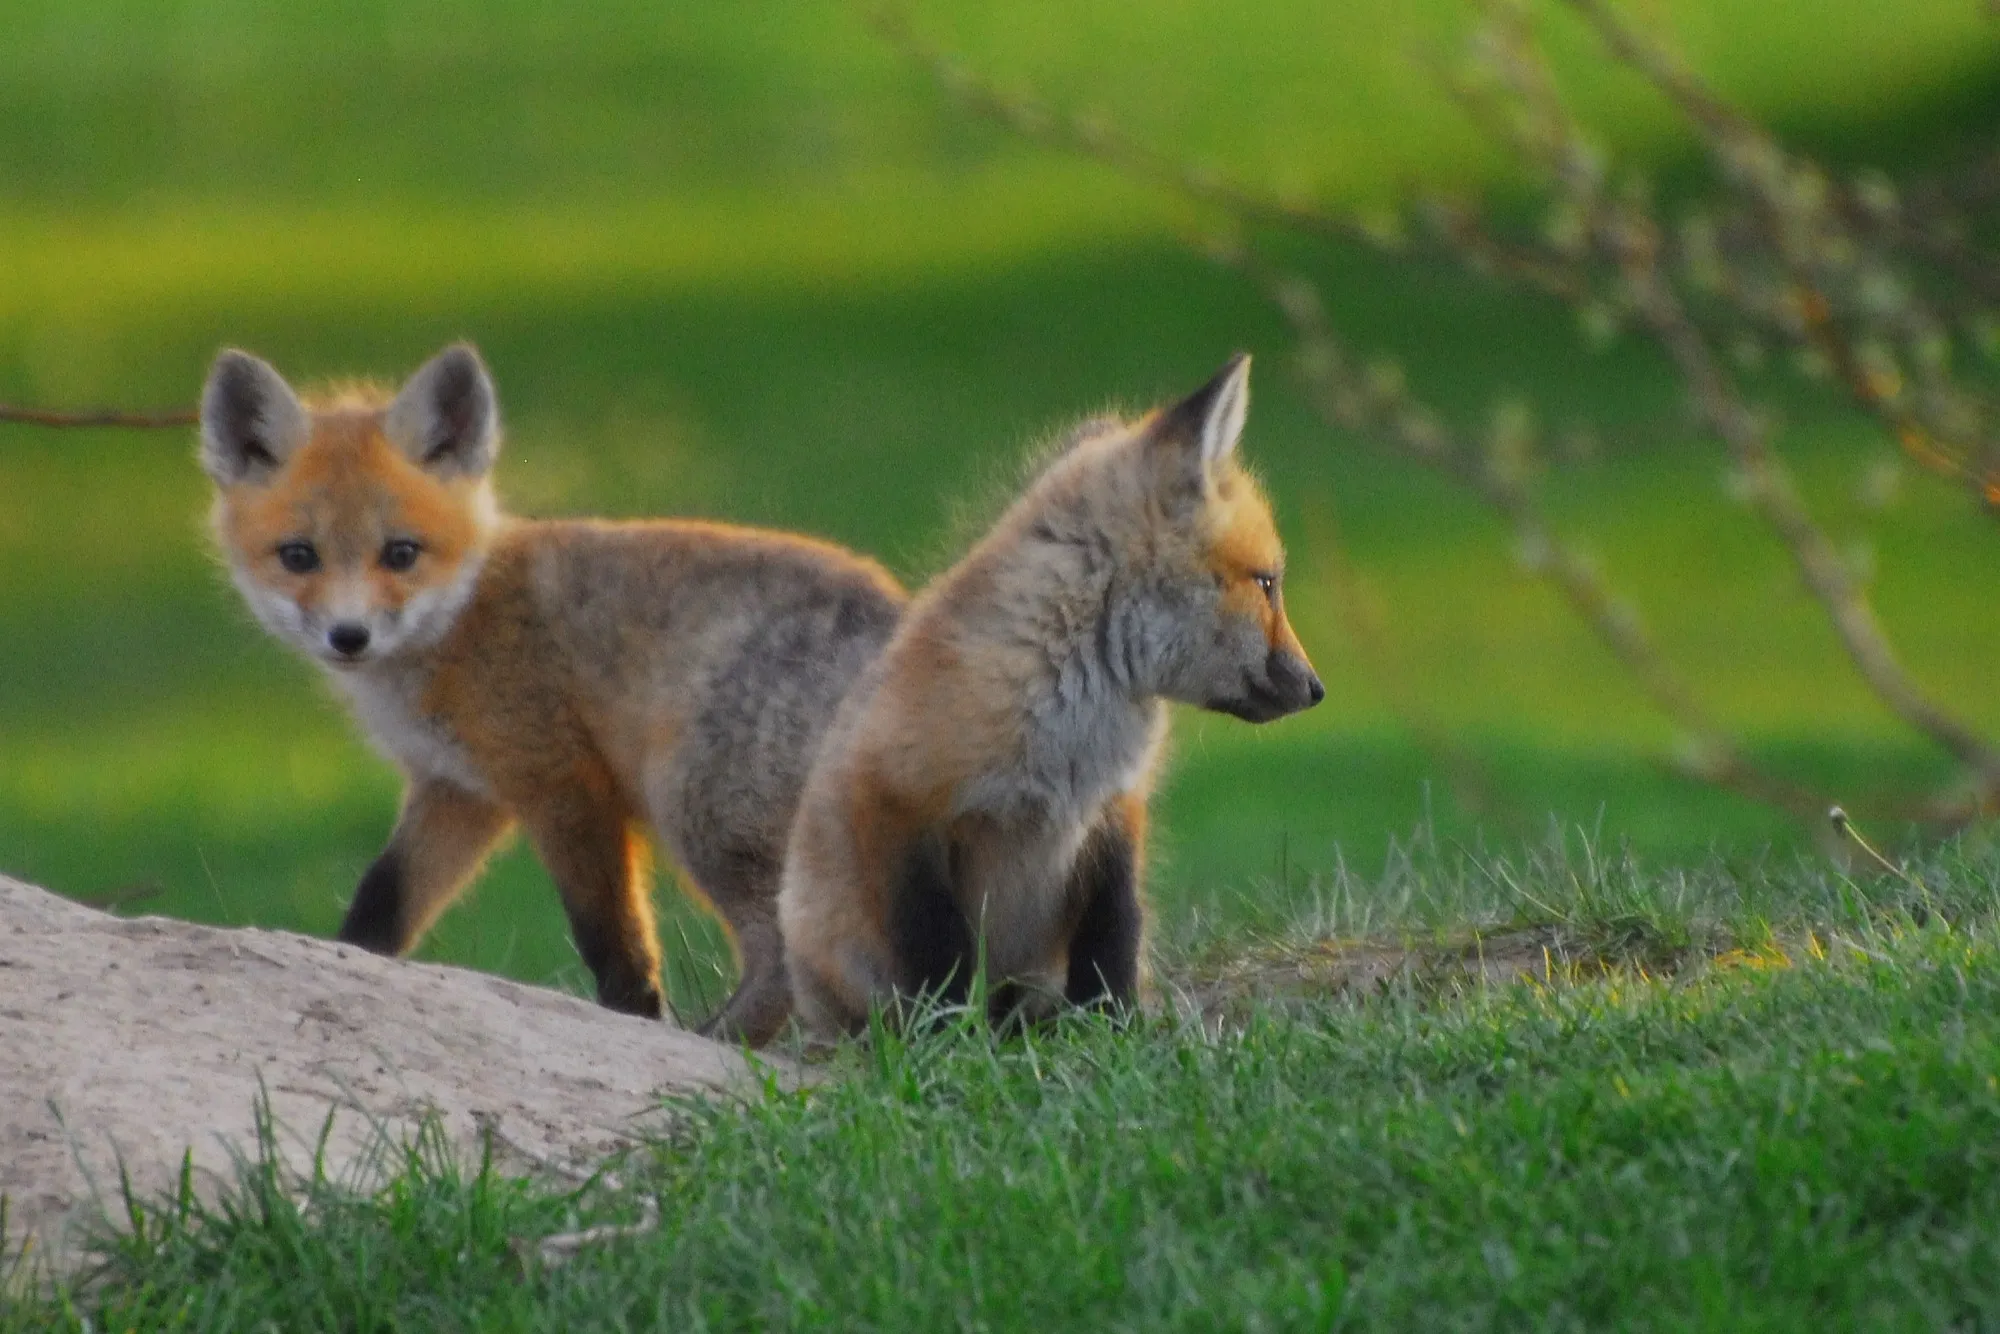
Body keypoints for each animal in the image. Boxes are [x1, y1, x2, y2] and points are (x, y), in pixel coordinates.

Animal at [198, 342, 906, 1045]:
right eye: (299, 556)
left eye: (401, 553)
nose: (349, 636)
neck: (461, 624)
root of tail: (894, 620)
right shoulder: (458, 789)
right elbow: (383, 900)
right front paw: (348, 959)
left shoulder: (563, 783)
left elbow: (612, 934)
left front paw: (634, 1014)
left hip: (701, 814)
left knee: (782, 952)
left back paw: (720, 1038)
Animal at [777, 353, 1322, 1040]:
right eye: (1268, 583)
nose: (1317, 688)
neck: (1076, 726)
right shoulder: (899, 799)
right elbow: (938, 955)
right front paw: (954, 1041)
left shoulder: (1115, 813)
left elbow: (1114, 937)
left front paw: (1115, 1029)